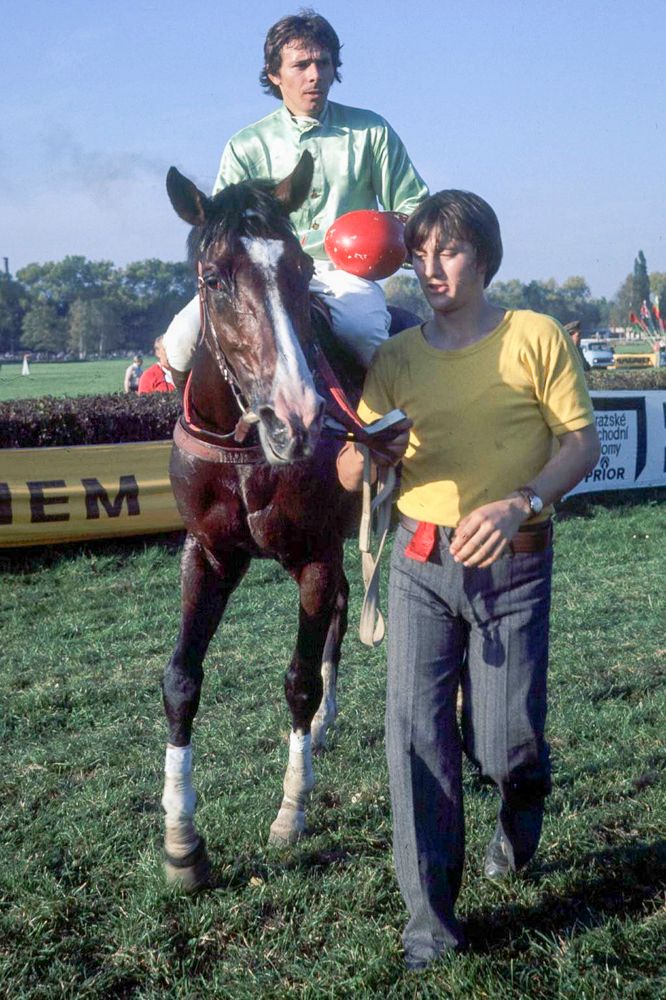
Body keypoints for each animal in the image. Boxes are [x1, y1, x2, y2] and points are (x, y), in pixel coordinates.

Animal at [160, 154, 410, 892]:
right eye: (214, 278)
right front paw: (181, 839)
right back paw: (325, 726)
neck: (248, 445)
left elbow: (298, 680)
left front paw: (291, 813)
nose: (296, 416)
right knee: (347, 608)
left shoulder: (313, 554)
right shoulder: (208, 552)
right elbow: (181, 680)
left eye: (300, 268)